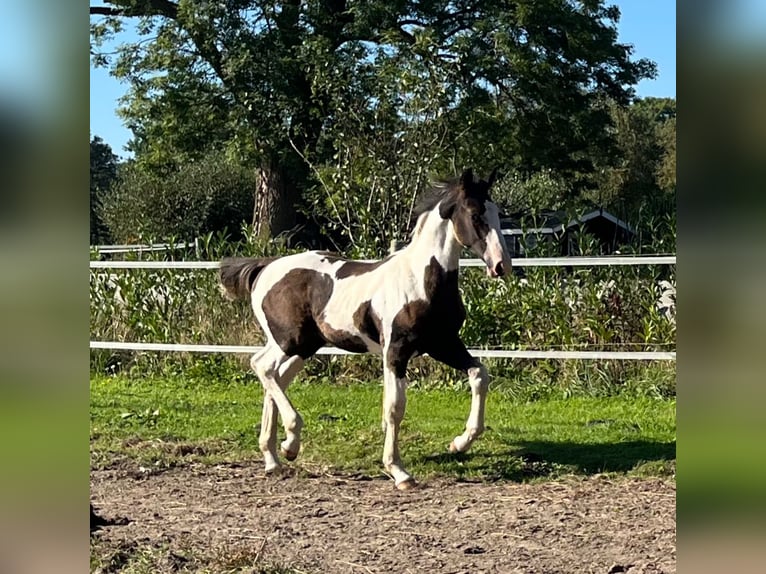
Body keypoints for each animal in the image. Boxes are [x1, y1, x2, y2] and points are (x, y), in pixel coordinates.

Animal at [219, 168, 512, 490]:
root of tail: (266, 267)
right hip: (288, 340)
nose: (502, 265)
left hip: (306, 345)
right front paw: (399, 471)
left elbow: (479, 375)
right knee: (262, 366)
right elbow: (395, 407)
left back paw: (275, 456)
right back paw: (290, 442)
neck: (421, 280)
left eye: (496, 212)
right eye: (475, 214)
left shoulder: (444, 344)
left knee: (276, 378)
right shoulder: (396, 351)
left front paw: (459, 443)